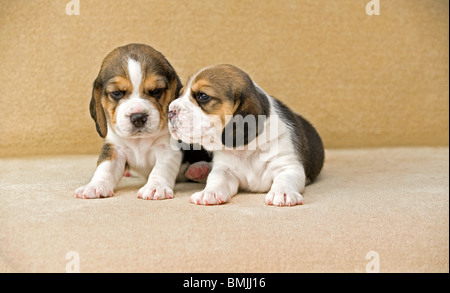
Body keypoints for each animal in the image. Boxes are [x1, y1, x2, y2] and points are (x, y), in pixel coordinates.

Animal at [74, 42, 210, 198]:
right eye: (116, 93)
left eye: (156, 91)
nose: (138, 117)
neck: (139, 140)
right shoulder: (115, 148)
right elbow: (105, 168)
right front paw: (95, 186)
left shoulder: (168, 149)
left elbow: (161, 169)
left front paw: (156, 187)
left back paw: (200, 169)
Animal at [169, 64, 324, 205]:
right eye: (180, 94)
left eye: (203, 96)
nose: (170, 112)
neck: (246, 149)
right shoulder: (224, 170)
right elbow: (216, 180)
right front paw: (209, 192)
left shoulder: (288, 165)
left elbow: (284, 179)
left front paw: (282, 193)